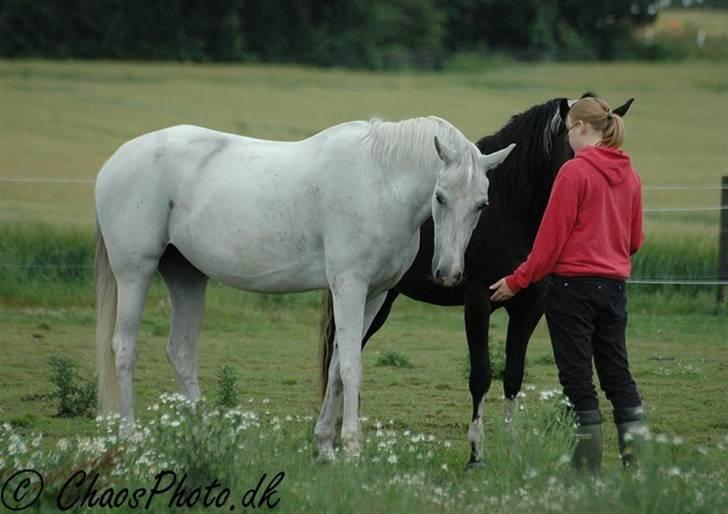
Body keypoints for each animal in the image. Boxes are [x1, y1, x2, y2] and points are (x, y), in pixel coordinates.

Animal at [95, 117, 512, 456]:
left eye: (481, 204)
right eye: (440, 196)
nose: (448, 272)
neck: (379, 183)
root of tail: (114, 162)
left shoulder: (374, 295)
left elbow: (337, 367)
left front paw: (325, 445)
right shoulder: (349, 286)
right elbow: (352, 366)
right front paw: (351, 448)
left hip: (187, 277)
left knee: (181, 352)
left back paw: (204, 437)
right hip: (135, 273)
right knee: (124, 349)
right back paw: (129, 440)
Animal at [318, 94, 632, 466]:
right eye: (573, 151)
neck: (509, 211)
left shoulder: (528, 309)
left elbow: (512, 376)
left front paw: (513, 451)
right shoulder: (478, 302)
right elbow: (481, 375)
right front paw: (476, 455)